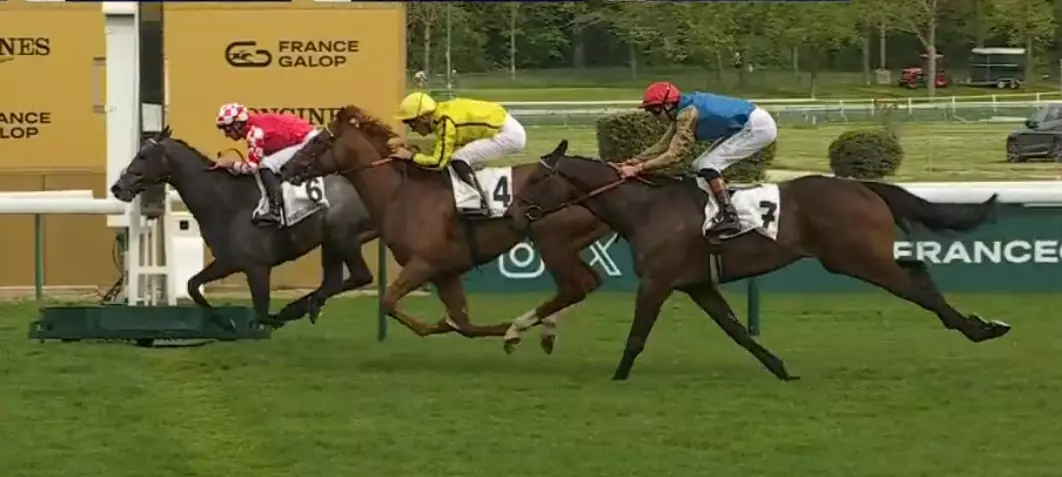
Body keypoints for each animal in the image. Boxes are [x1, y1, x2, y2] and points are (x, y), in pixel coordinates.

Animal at [109, 126, 377, 327]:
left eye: (143, 155)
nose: (117, 187)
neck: (223, 198)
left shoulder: (256, 266)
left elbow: (261, 311)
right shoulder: (229, 261)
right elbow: (193, 285)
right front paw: (224, 320)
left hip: (343, 235)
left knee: (360, 276)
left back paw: (295, 310)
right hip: (330, 241)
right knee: (332, 281)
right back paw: (302, 308)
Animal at [278, 105, 611, 353]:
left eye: (318, 142)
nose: (285, 168)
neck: (402, 194)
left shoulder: (423, 264)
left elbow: (388, 302)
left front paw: (502, 329)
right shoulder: (445, 272)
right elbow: (463, 323)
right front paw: (471, 326)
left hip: (552, 242)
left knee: (574, 287)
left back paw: (526, 326)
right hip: (569, 245)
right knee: (589, 282)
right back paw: (543, 329)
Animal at [507, 140, 1012, 381]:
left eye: (535, 180)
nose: (512, 215)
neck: (644, 209)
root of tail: (864, 187)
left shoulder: (656, 282)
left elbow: (636, 337)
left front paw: (617, 376)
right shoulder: (697, 284)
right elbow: (737, 331)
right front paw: (780, 368)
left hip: (858, 257)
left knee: (915, 281)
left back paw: (980, 328)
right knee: (918, 273)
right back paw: (981, 325)